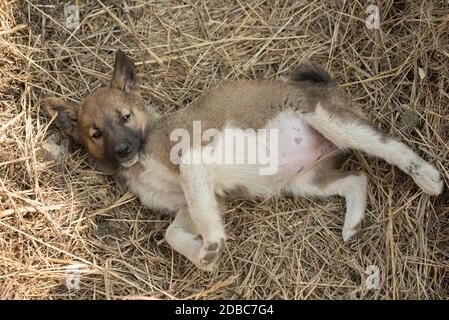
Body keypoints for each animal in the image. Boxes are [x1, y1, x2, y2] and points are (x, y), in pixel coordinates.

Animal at [43, 51, 442, 272]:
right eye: (96, 134)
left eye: (125, 117)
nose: (125, 150)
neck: (142, 161)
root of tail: (323, 86)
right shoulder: (188, 199)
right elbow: (174, 233)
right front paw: (201, 255)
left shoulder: (191, 166)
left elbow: (198, 222)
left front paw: (211, 245)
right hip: (306, 182)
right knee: (357, 180)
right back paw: (353, 224)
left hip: (333, 123)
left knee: (393, 148)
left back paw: (428, 178)